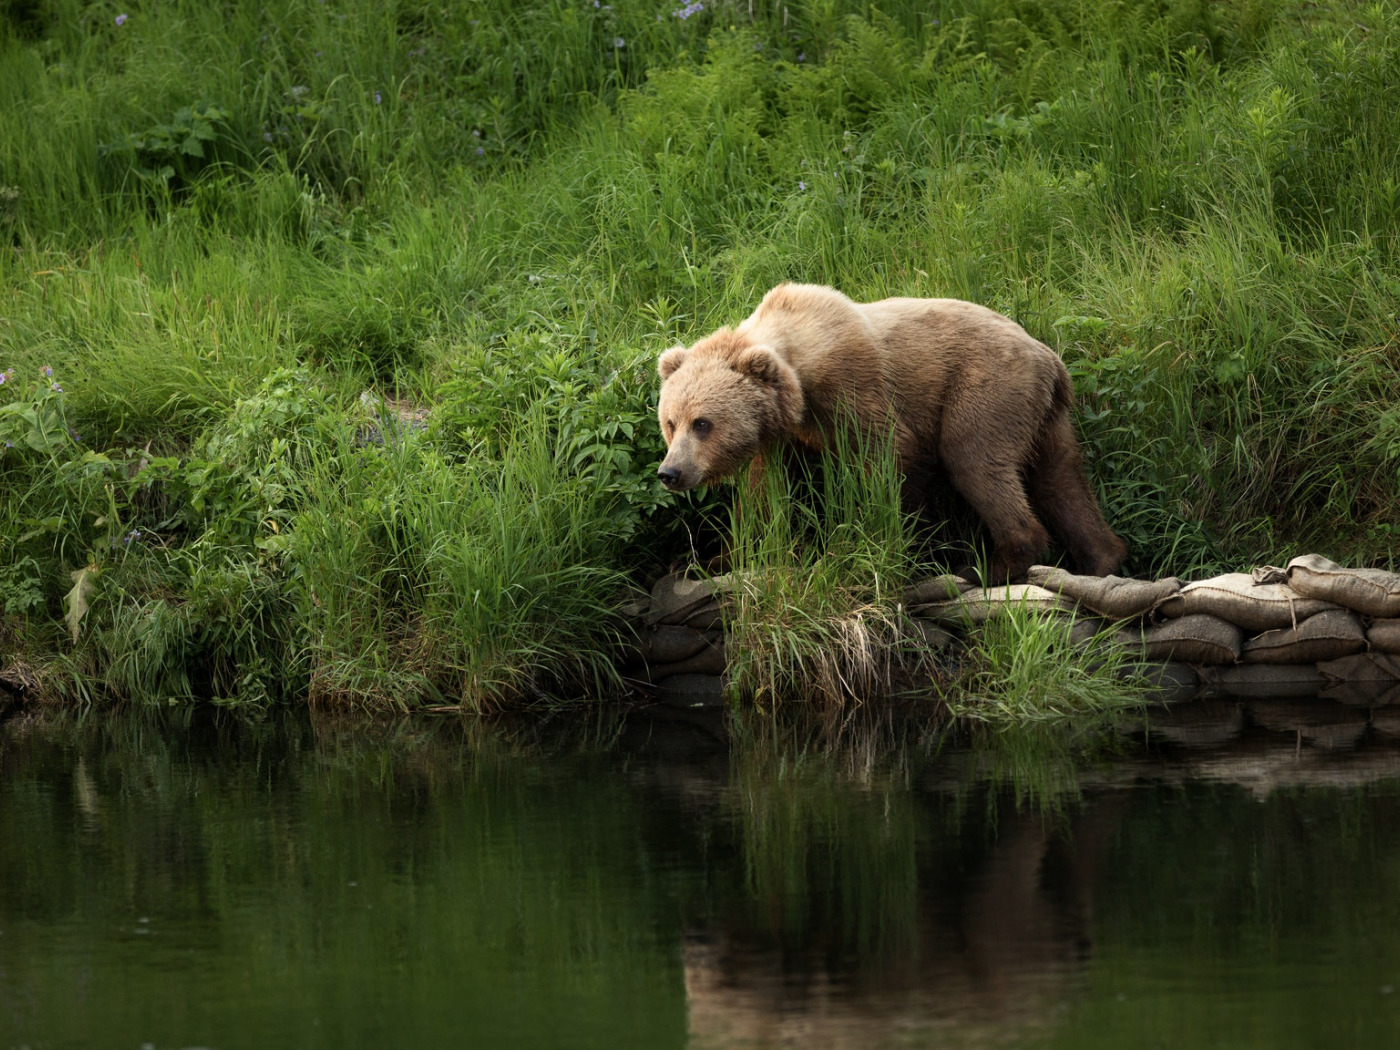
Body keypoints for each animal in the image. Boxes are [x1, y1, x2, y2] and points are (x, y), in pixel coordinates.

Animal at [655, 284, 1125, 585]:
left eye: (703, 423)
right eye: (671, 422)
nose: (670, 472)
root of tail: (1049, 357)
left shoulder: (855, 388)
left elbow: (890, 463)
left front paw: (878, 545)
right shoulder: (777, 435)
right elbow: (762, 497)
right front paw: (707, 561)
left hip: (986, 387)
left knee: (976, 461)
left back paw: (984, 568)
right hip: (1045, 417)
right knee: (1060, 478)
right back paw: (1103, 559)